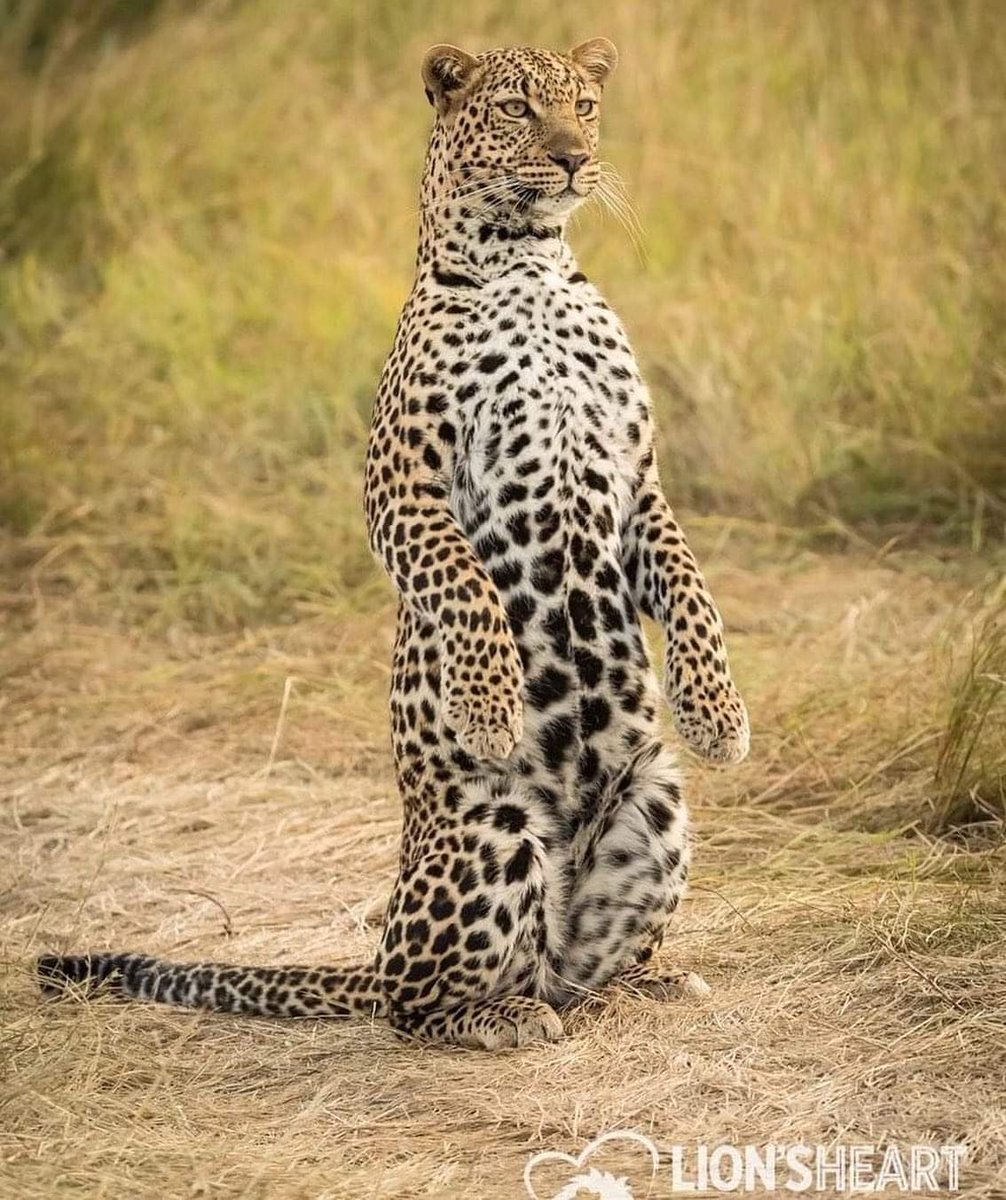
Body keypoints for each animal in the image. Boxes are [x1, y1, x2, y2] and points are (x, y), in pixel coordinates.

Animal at [37, 38, 750, 1050]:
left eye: (583, 105)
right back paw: (498, 1017)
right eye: (520, 109)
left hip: (653, 809)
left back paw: (639, 987)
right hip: (490, 838)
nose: (575, 158)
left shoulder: (638, 481)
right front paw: (488, 709)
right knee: (417, 1005)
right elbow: (465, 586)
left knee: (575, 969)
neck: (530, 265)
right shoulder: (400, 486)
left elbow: (693, 588)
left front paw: (719, 716)